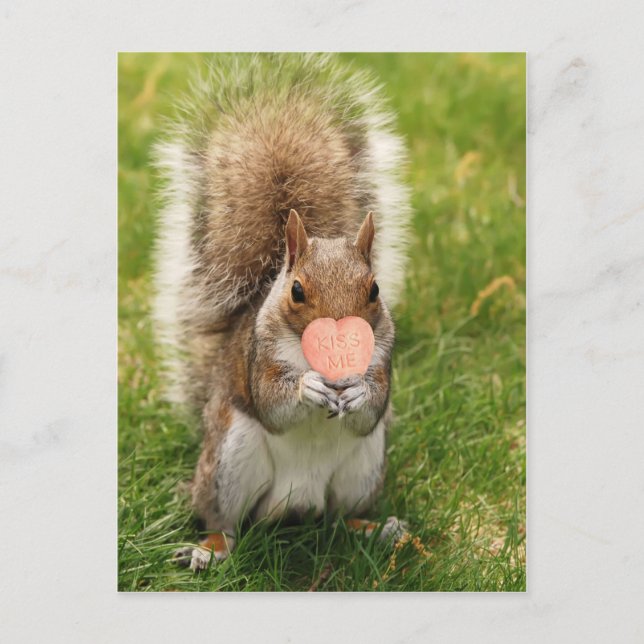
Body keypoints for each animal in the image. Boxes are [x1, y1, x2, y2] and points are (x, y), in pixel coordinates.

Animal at [152, 54, 412, 570]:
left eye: (374, 289)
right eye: (296, 291)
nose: (342, 344)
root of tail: (295, 506)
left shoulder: (384, 356)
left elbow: (374, 405)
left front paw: (357, 391)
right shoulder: (260, 356)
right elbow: (273, 402)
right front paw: (307, 387)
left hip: (363, 467)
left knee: (340, 517)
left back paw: (378, 529)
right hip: (230, 459)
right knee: (226, 522)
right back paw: (208, 551)